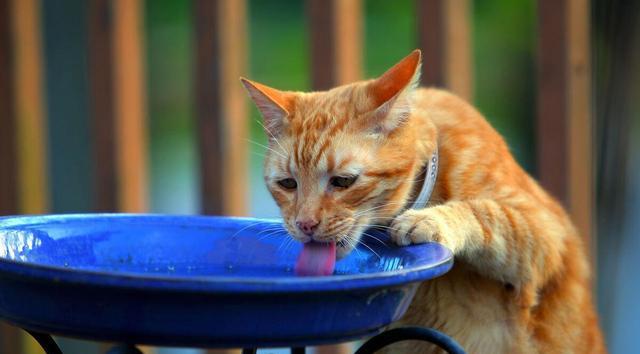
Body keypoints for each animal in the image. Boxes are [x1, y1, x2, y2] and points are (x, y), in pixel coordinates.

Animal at [240, 50, 604, 354]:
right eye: (288, 184)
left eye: (342, 181)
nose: (305, 224)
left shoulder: (544, 232)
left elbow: (485, 212)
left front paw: (428, 220)